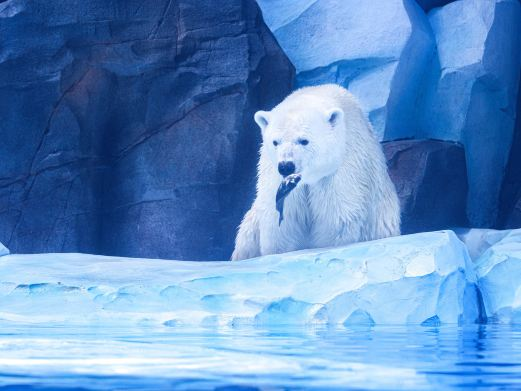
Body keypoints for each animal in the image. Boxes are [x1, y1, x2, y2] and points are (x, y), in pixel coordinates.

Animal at [232, 86, 398, 264]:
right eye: (275, 142)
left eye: (304, 140)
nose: (286, 166)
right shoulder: (274, 177)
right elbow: (282, 220)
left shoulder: (343, 169)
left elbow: (337, 217)